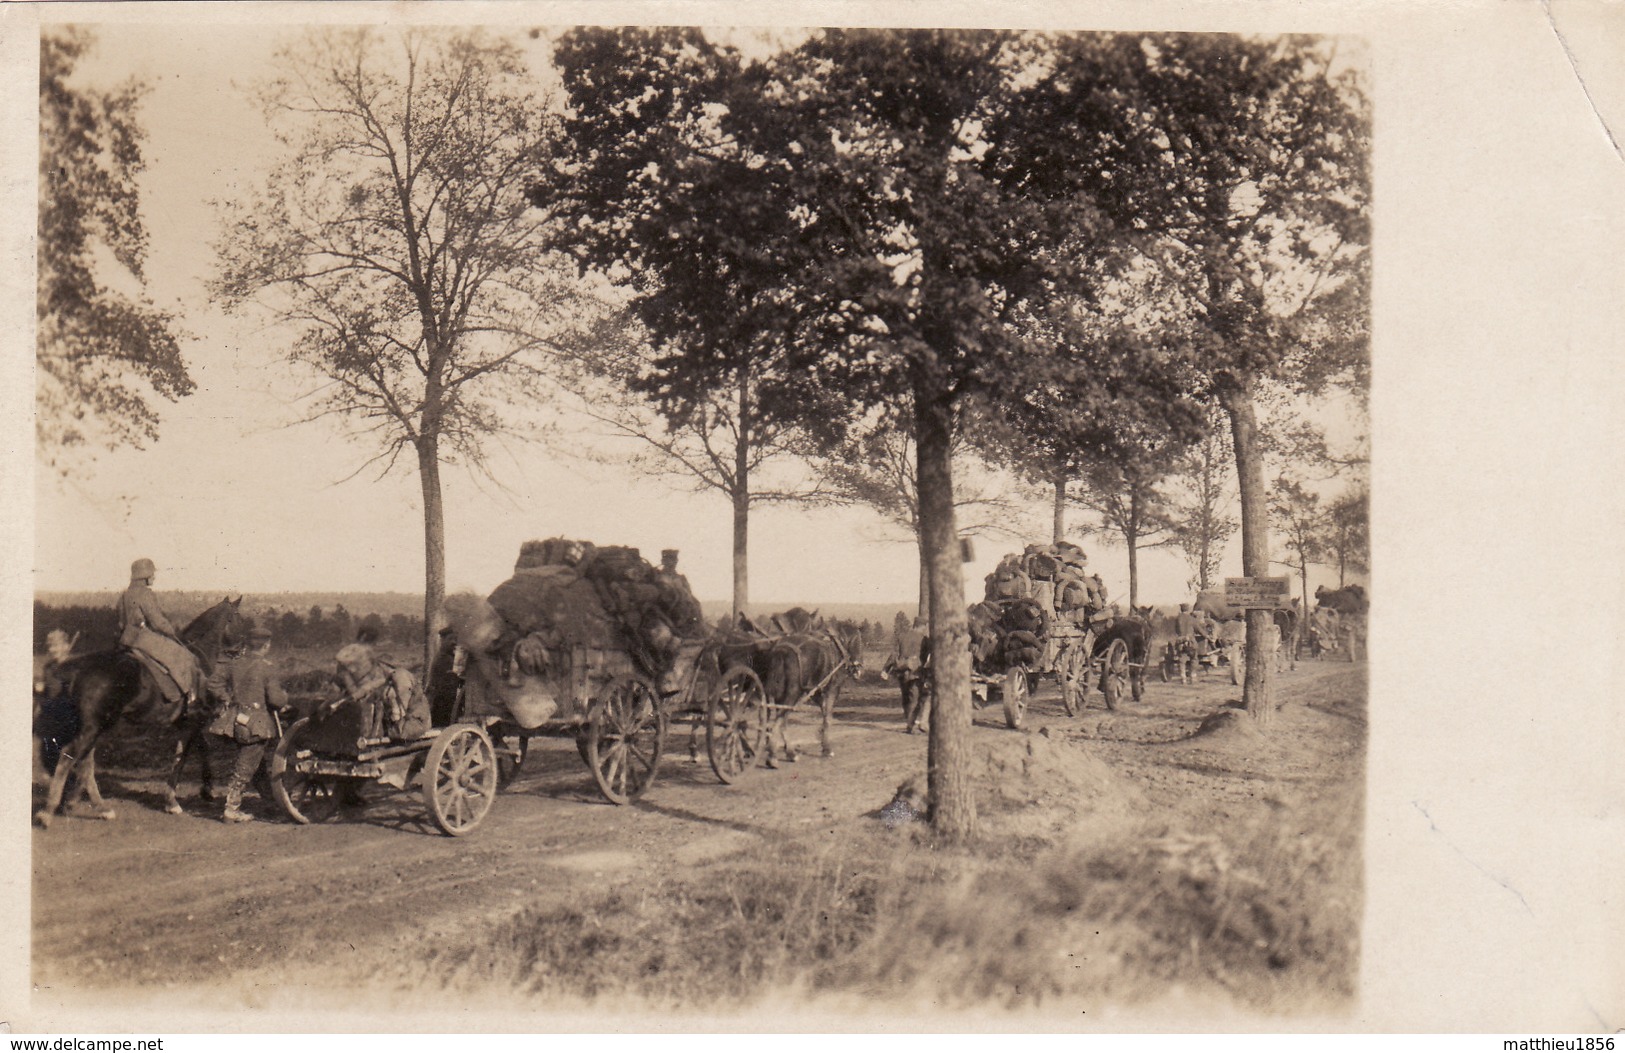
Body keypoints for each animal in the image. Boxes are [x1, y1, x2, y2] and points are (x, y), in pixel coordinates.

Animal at [35, 598, 247, 825]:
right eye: (239, 618)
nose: (244, 649)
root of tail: (78, 670)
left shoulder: (187, 722)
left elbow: (200, 748)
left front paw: (206, 789)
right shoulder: (194, 720)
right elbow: (183, 757)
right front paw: (174, 801)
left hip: (94, 727)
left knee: (84, 762)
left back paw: (91, 805)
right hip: (95, 727)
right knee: (70, 757)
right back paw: (50, 811)